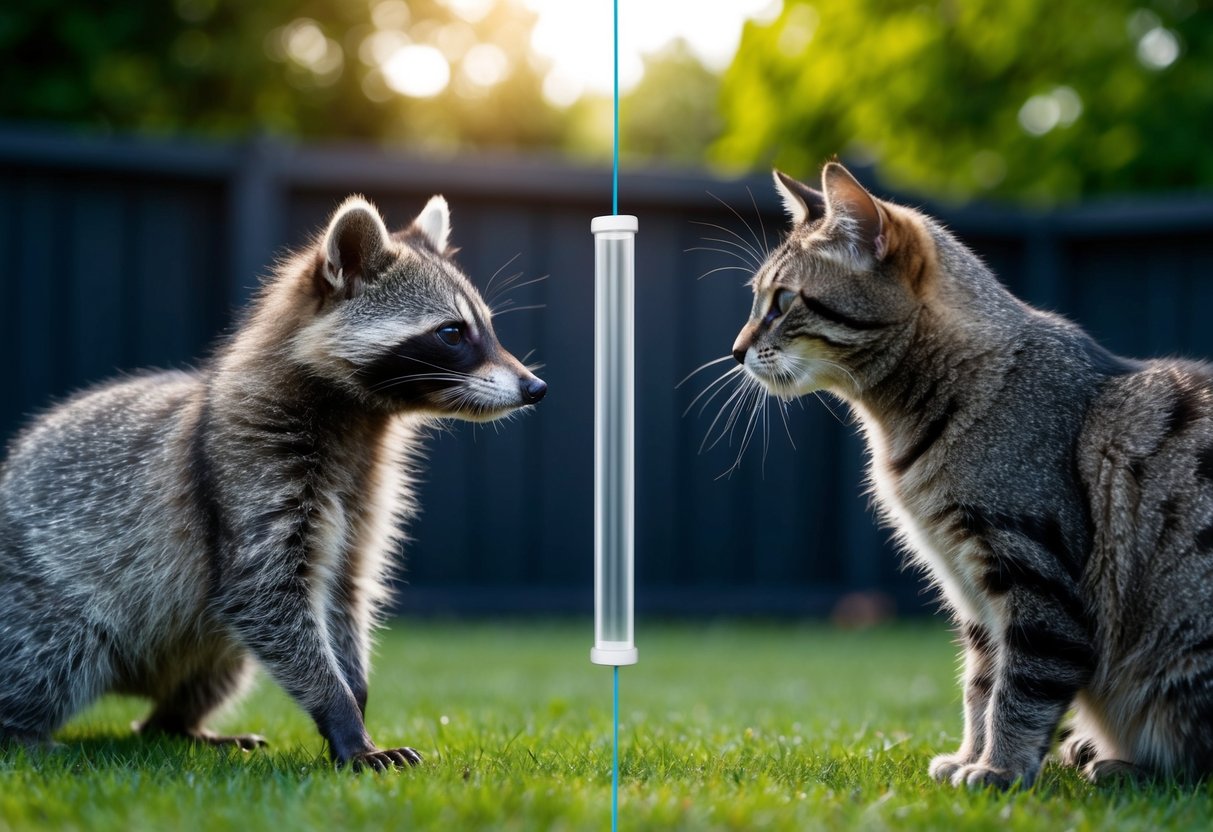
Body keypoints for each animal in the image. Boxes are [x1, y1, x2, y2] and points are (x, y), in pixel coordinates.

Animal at [0, 195, 546, 771]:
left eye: (488, 328)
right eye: (452, 333)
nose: (536, 387)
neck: (361, 419)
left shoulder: (363, 497)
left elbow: (345, 595)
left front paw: (356, 703)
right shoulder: (247, 473)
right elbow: (264, 594)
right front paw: (344, 720)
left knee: (211, 668)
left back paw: (177, 724)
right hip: (42, 601)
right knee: (51, 656)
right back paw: (22, 732)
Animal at [729, 161, 1213, 788]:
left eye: (784, 300)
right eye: (757, 299)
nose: (735, 349)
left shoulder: (1032, 574)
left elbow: (1021, 686)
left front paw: (999, 769)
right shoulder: (972, 589)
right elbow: (981, 683)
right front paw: (968, 757)